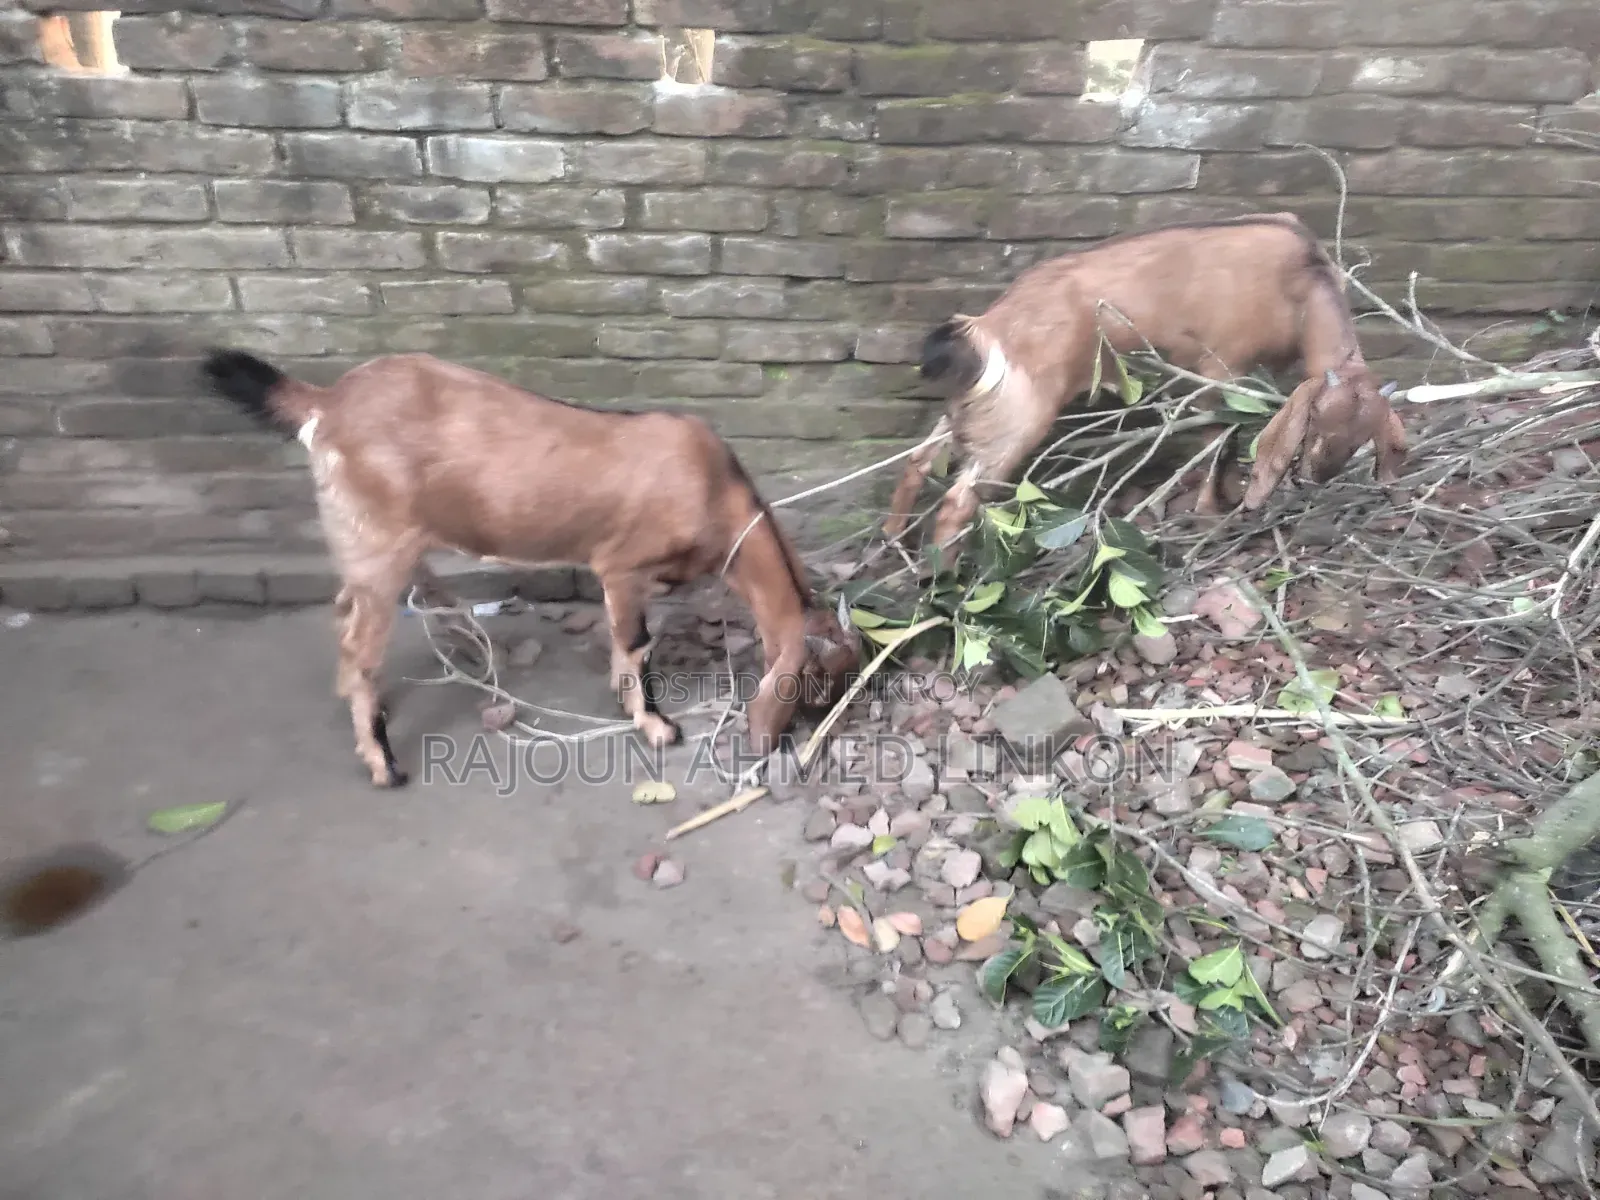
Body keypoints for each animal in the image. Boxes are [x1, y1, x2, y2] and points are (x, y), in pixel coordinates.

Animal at [200, 349, 861, 788]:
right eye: (815, 681)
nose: (796, 742)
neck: (718, 498)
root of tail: (326, 401)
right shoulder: (620, 565)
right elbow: (637, 643)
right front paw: (655, 726)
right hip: (381, 542)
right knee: (359, 647)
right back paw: (383, 763)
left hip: (364, 543)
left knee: (346, 622)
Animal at [882, 212, 1408, 552]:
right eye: (1318, 416)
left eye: (1362, 435)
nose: (1315, 476)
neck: (1299, 283)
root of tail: (986, 326)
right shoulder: (1219, 365)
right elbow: (1219, 438)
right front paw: (1210, 512)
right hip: (1021, 415)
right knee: (957, 501)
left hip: (979, 405)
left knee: (917, 461)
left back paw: (893, 546)